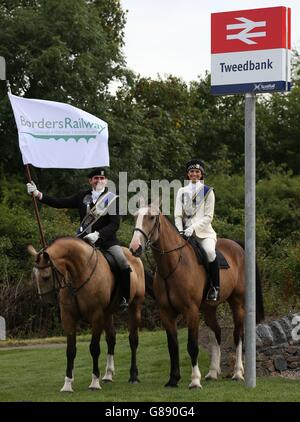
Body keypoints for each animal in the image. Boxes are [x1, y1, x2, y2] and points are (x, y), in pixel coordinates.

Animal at [28, 237, 145, 392]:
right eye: (34, 277)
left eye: (46, 277)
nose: (47, 304)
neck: (79, 273)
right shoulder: (68, 317)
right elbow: (70, 350)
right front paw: (67, 384)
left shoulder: (96, 316)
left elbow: (94, 348)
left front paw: (94, 382)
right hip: (107, 314)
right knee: (111, 339)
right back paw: (108, 374)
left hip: (134, 308)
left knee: (133, 340)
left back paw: (133, 376)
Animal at [129, 204, 262, 390]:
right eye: (135, 217)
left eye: (151, 218)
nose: (134, 247)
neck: (173, 265)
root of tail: (237, 246)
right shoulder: (166, 313)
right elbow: (172, 346)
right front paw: (173, 379)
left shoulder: (191, 311)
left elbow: (192, 346)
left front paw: (194, 381)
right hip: (209, 308)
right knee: (217, 332)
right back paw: (213, 372)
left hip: (237, 303)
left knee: (238, 335)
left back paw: (237, 373)